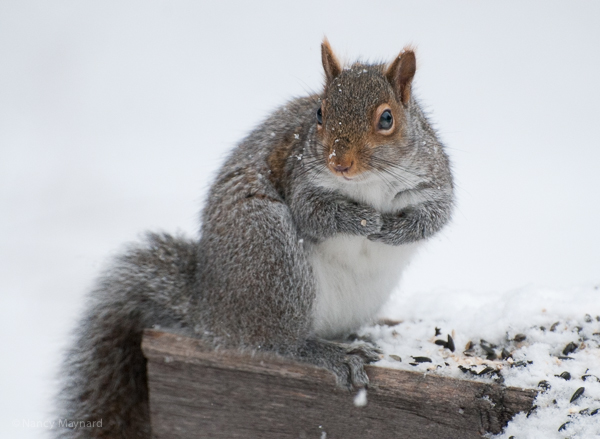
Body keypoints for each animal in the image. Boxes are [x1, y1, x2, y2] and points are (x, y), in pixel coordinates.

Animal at [57, 39, 454, 438]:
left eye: (387, 119)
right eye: (320, 112)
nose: (338, 162)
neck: (367, 184)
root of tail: (209, 309)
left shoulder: (434, 181)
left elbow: (435, 217)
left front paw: (395, 230)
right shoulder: (300, 180)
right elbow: (313, 215)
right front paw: (361, 219)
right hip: (271, 251)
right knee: (280, 343)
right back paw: (328, 352)